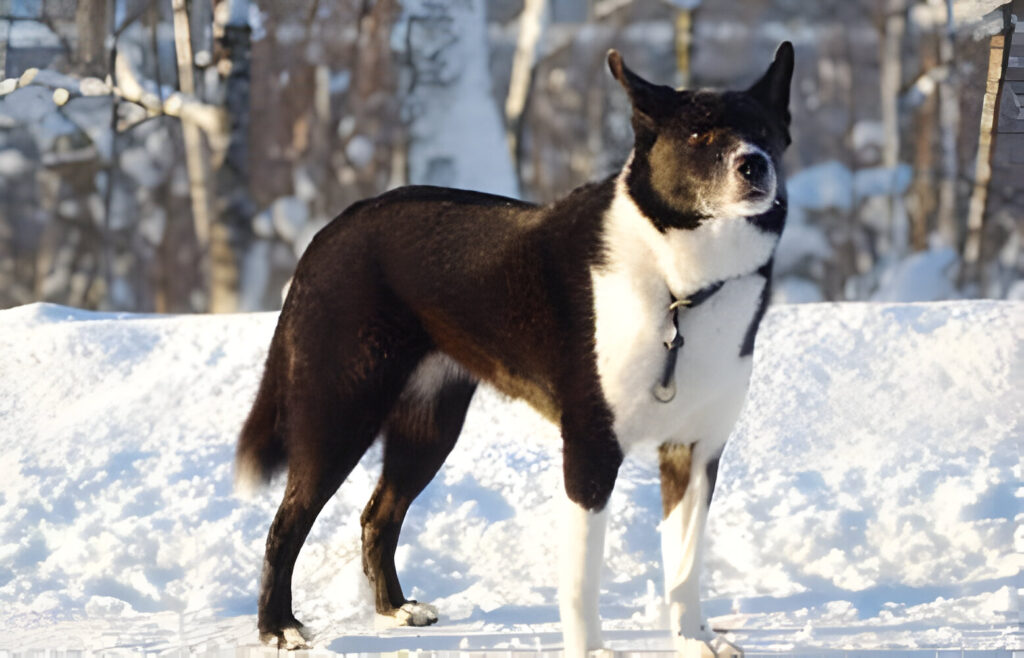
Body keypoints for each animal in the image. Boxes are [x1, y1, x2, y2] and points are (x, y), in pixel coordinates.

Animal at [235, 42, 794, 658]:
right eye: (699, 135)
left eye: (765, 132)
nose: (754, 165)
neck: (680, 286)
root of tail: (334, 229)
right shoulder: (591, 450)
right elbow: (582, 578)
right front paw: (592, 651)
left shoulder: (695, 453)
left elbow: (686, 566)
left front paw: (694, 640)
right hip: (339, 412)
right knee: (286, 524)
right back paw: (279, 626)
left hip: (428, 426)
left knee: (377, 515)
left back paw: (395, 609)